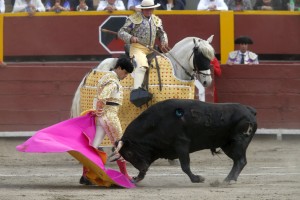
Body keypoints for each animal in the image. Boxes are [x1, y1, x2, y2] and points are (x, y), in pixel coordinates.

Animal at [113, 99, 256, 184]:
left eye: (129, 153)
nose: (143, 167)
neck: (156, 123)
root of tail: (250, 110)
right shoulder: (155, 151)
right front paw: (136, 178)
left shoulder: (181, 144)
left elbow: (185, 166)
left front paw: (197, 178)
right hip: (227, 145)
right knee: (238, 161)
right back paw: (228, 179)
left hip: (238, 143)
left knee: (241, 161)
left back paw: (229, 180)